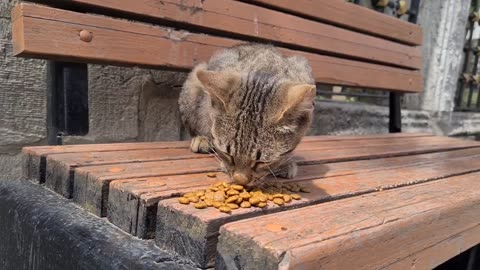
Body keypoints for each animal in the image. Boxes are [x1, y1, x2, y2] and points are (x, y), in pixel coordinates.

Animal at [178, 43, 316, 186]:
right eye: (228, 154)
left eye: (262, 162)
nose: (240, 180)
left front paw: (285, 163)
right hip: (193, 82)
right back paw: (202, 139)